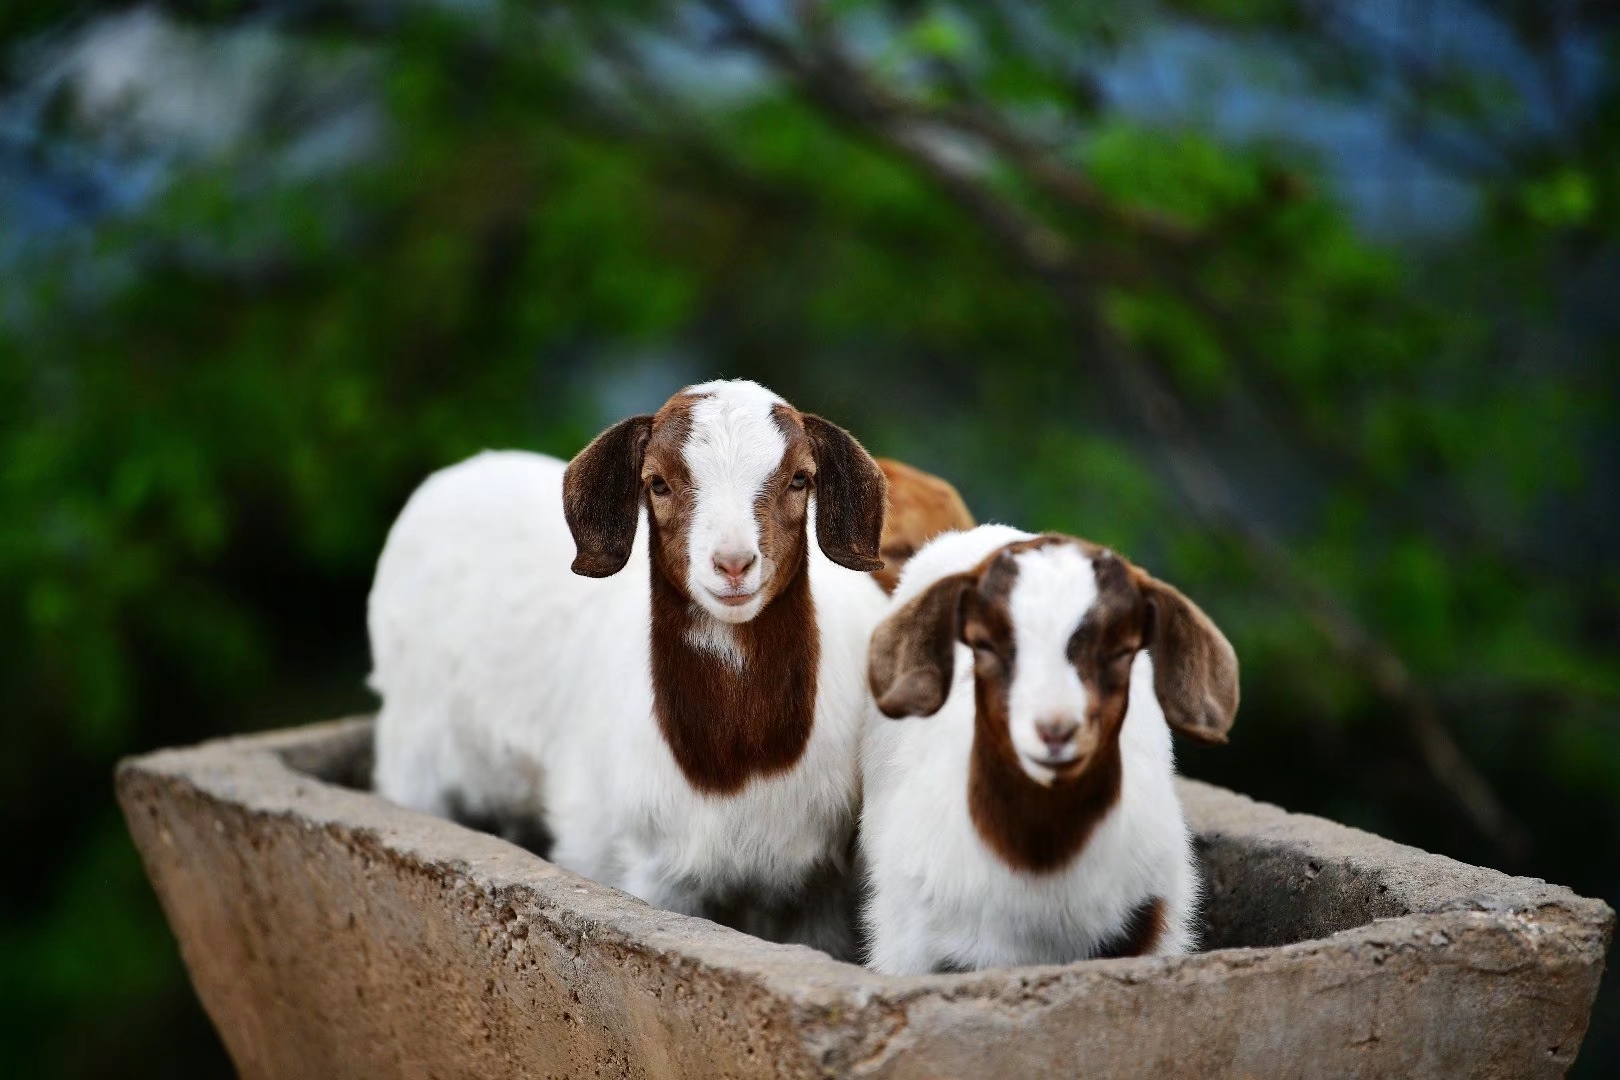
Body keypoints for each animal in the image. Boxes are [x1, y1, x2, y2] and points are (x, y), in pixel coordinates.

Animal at [370, 378, 900, 952]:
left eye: (800, 479)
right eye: (658, 483)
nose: (733, 564)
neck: (734, 766)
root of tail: (456, 474)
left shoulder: (818, 891)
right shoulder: (650, 872)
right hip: (413, 749)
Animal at [861, 527, 1237, 977]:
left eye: (1121, 650)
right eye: (983, 645)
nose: (1055, 729)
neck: (1039, 865)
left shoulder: (1151, 924)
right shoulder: (910, 944)